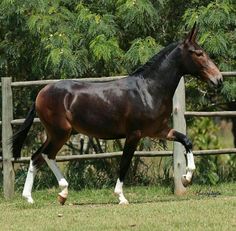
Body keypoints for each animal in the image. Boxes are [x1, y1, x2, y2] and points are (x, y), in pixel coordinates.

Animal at [11, 23, 221, 204]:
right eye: (199, 53)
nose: (218, 79)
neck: (148, 89)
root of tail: (41, 93)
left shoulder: (159, 130)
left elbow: (186, 140)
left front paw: (186, 177)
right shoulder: (134, 134)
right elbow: (124, 163)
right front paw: (121, 197)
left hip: (56, 133)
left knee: (37, 157)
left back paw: (32, 197)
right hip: (60, 133)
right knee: (46, 155)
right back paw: (61, 191)